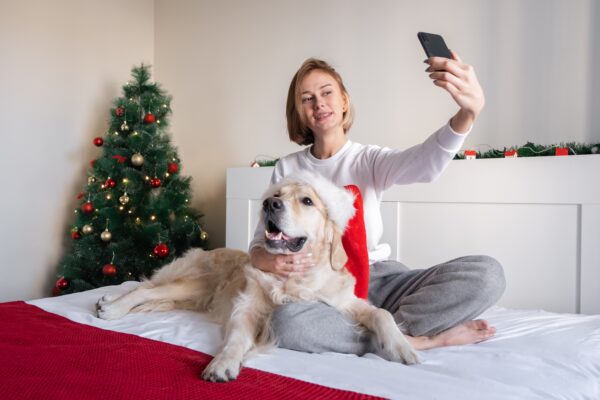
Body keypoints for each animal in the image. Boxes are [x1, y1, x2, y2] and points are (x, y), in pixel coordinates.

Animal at [96, 171, 420, 382]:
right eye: (276, 195)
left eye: (307, 201)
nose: (269, 205)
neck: (293, 278)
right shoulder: (247, 307)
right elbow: (236, 339)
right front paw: (223, 363)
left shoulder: (347, 303)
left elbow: (381, 314)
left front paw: (402, 347)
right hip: (197, 281)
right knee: (144, 289)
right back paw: (110, 306)